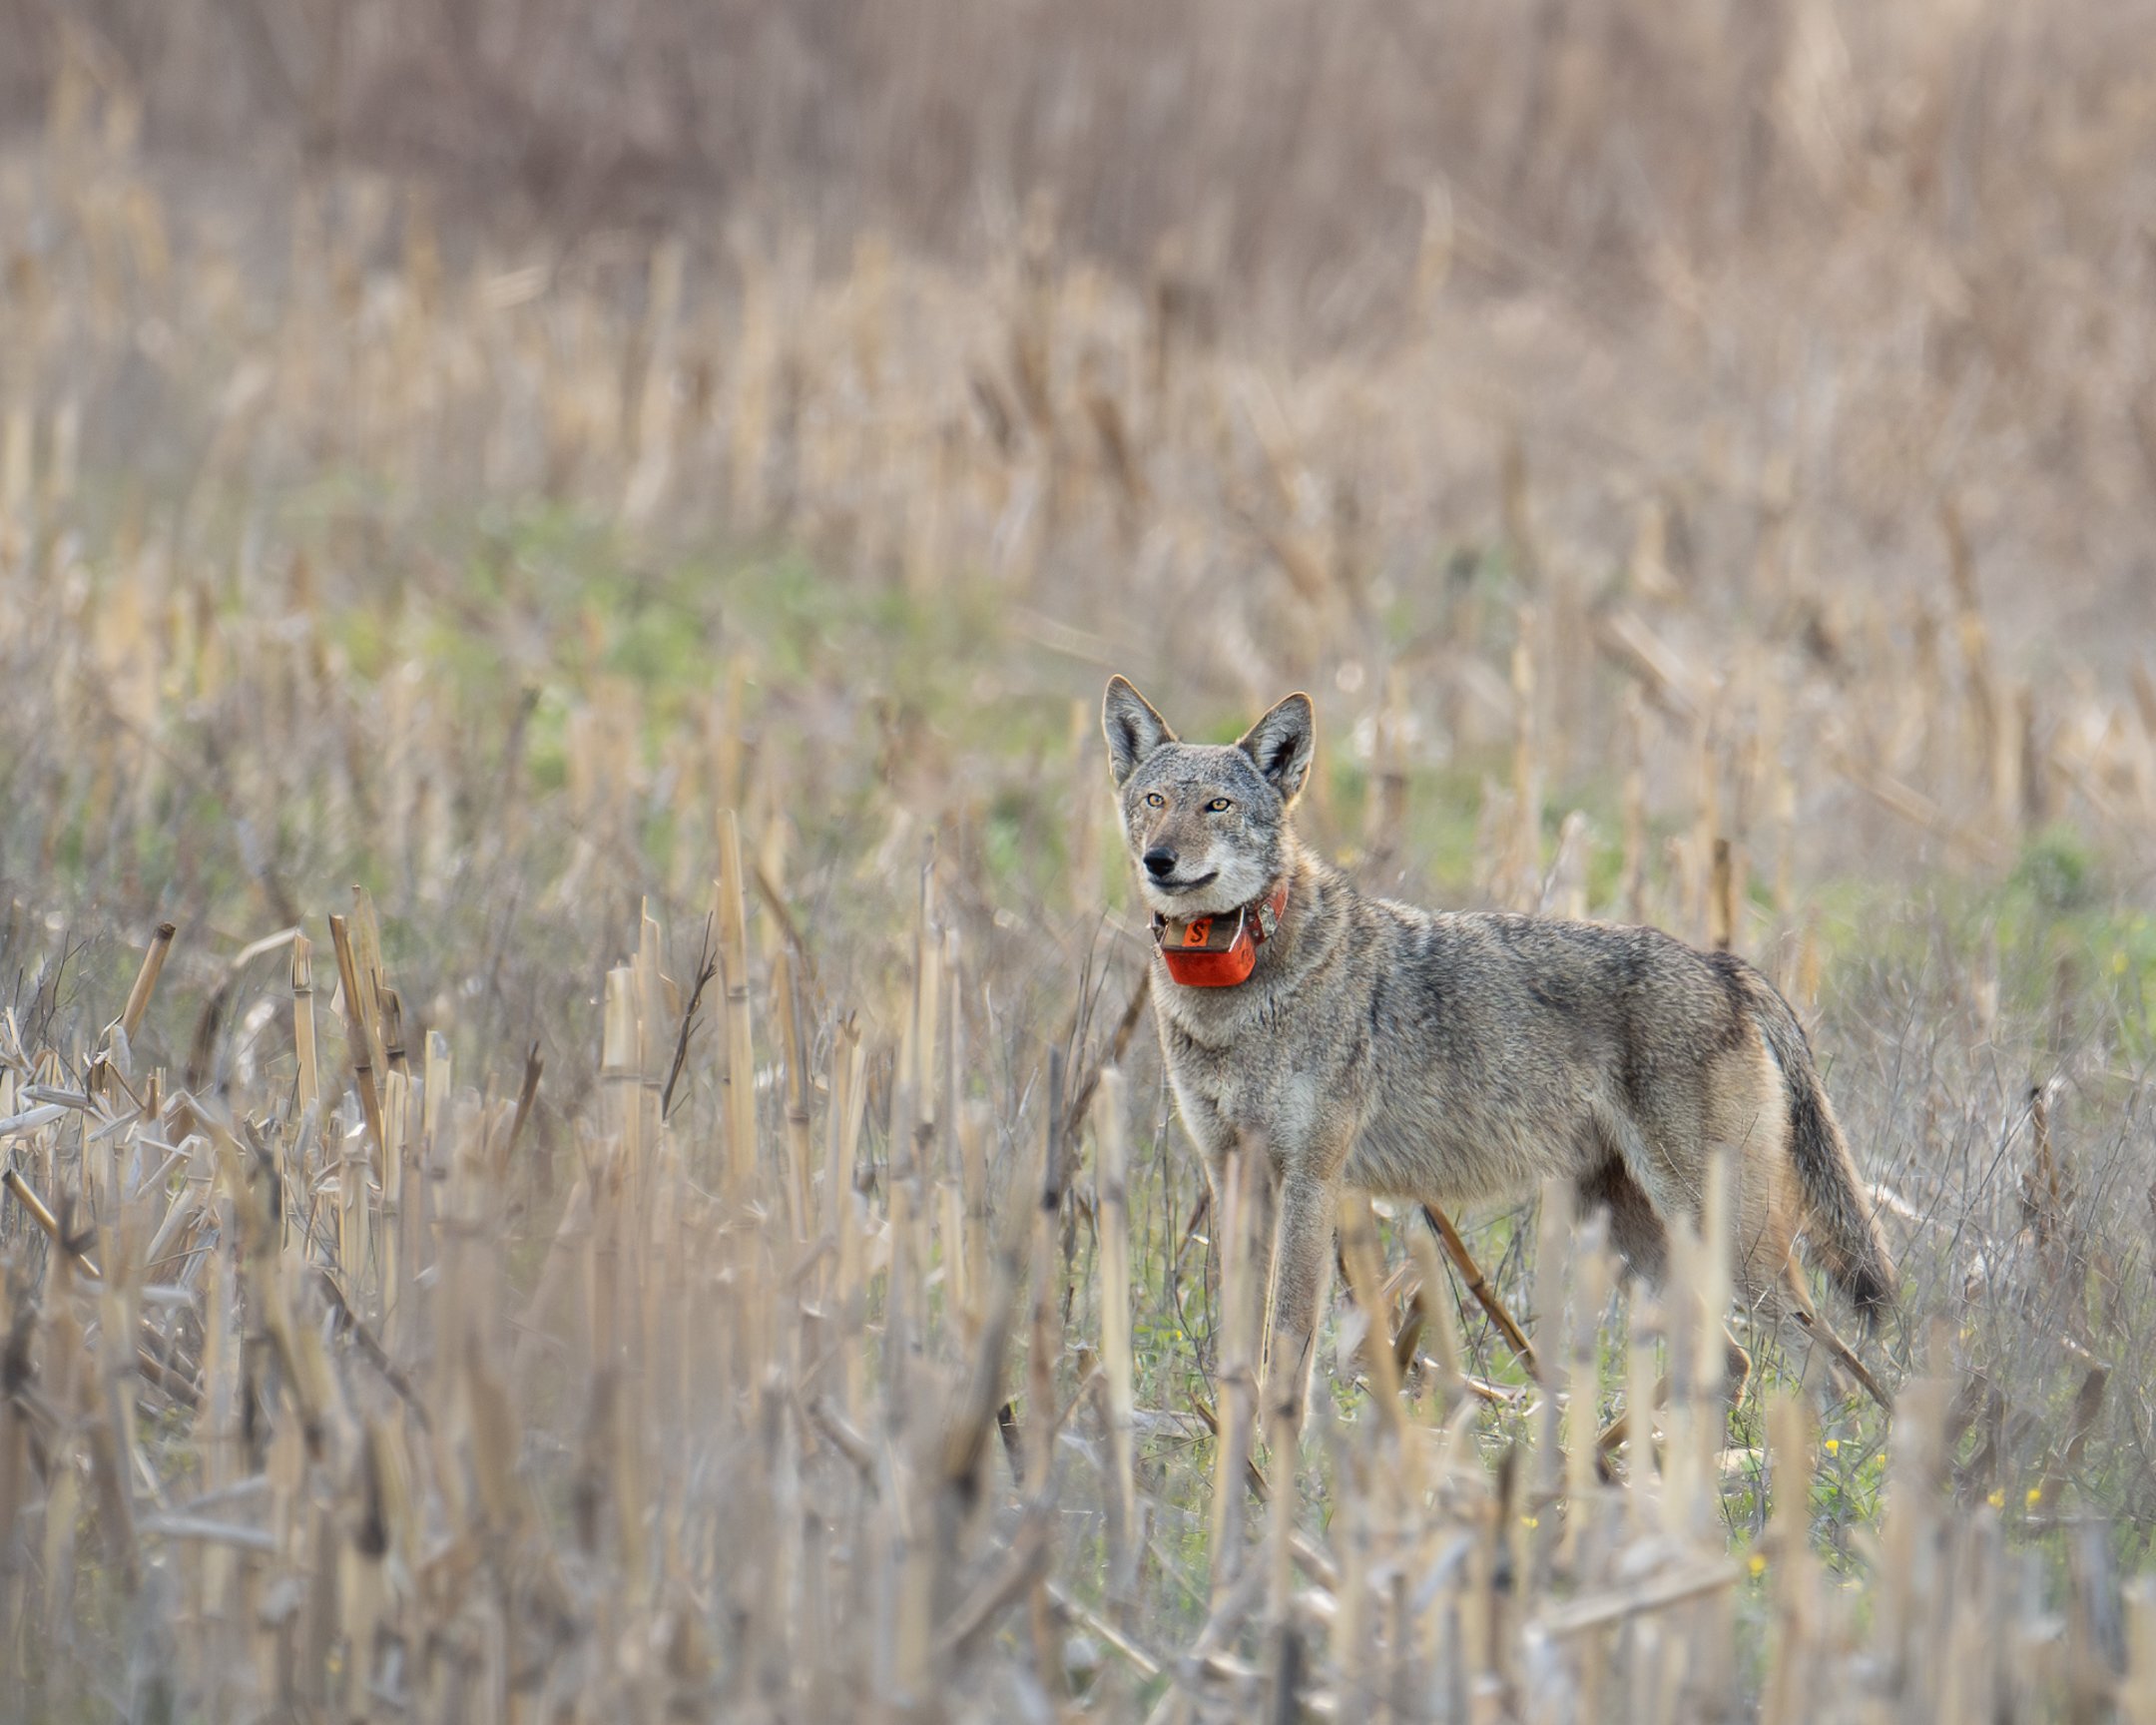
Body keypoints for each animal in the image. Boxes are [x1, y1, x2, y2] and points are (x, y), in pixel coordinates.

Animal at [1102, 675, 1895, 1434]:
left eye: (1219, 806)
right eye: (1155, 800)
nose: (1158, 860)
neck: (1233, 991)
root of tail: (1726, 967)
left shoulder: (1312, 1178)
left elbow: (1289, 1338)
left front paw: (1275, 1448)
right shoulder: (1232, 1173)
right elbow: (1241, 1339)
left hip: (1725, 1239)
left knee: (1830, 1365)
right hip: (1634, 1234)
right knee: (1734, 1362)